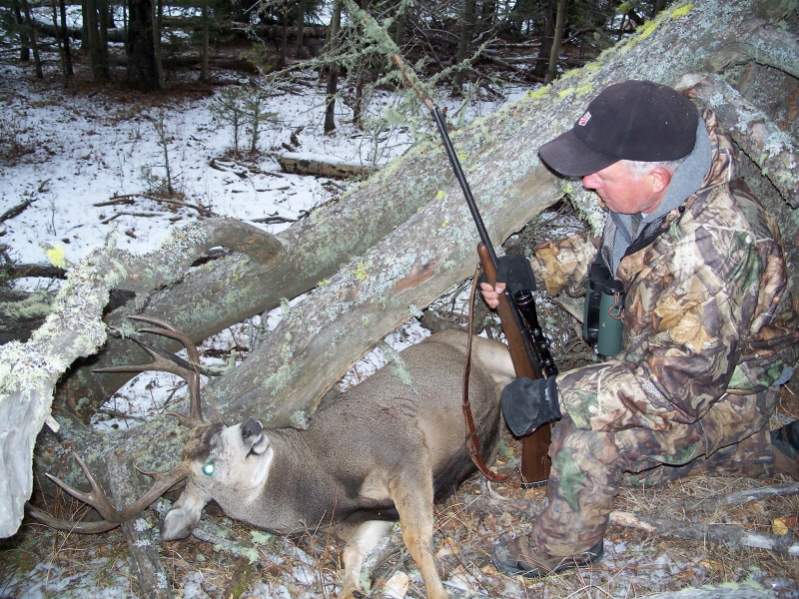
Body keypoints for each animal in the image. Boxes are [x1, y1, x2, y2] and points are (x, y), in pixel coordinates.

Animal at [31, 316, 516, 596]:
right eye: (207, 466)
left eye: (223, 424)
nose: (251, 427)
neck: (321, 485)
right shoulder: (363, 519)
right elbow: (349, 567)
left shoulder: (400, 446)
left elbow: (417, 541)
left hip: (491, 352)